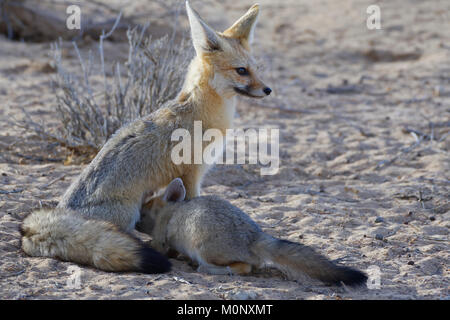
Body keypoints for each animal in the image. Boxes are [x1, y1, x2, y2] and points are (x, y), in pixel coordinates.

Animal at [20, 1, 270, 272]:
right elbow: (192, 205)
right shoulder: (192, 174)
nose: (268, 90)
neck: (199, 110)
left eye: (256, 69)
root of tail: (63, 212)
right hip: (129, 213)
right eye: (242, 71)